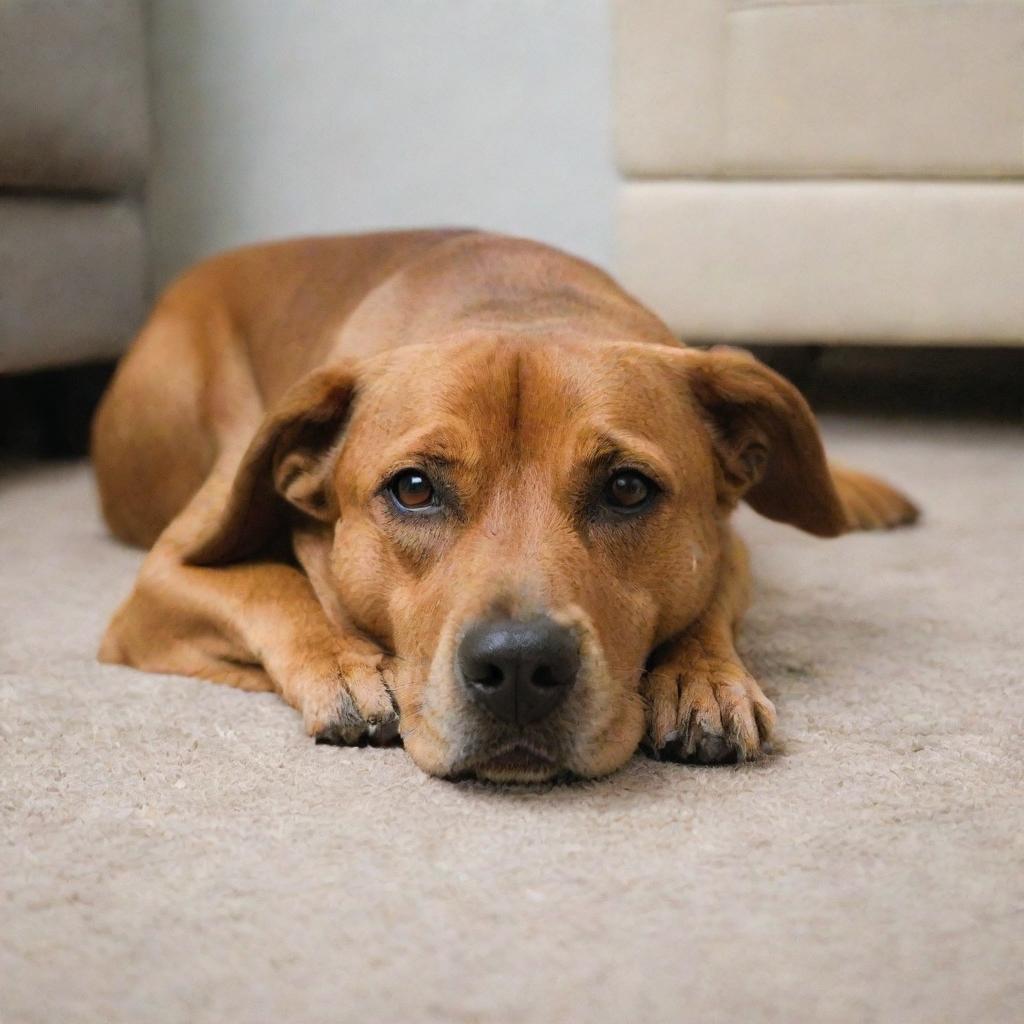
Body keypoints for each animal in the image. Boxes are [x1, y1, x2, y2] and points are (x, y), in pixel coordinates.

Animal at [92, 228, 917, 778]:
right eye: (414, 489)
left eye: (627, 488)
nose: (520, 667)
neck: (517, 303)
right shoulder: (161, 580)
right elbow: (274, 587)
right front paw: (346, 665)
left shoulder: (729, 543)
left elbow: (708, 599)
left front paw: (703, 679)